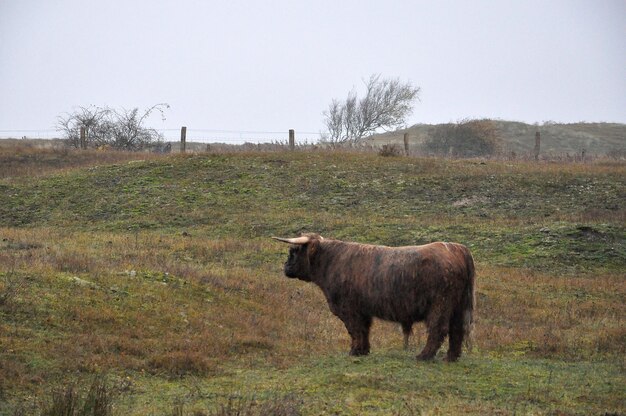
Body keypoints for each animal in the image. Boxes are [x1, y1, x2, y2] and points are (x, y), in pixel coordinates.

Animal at [272, 234, 472, 360]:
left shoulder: (348, 308)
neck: (330, 262)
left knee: (438, 328)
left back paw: (424, 356)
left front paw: (354, 351)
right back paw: (450, 357)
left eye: (294, 251)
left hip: (440, 304)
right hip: (458, 306)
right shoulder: (363, 310)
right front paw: (363, 351)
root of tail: (456, 248)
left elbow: (355, 330)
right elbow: (364, 330)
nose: (286, 267)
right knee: (457, 330)